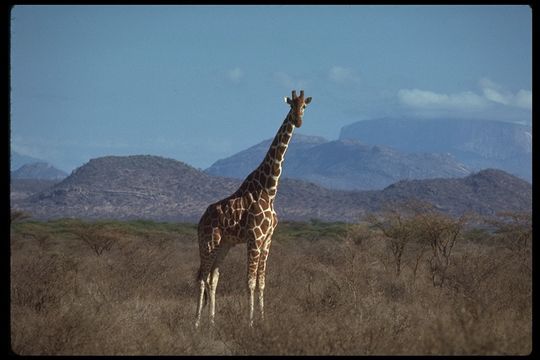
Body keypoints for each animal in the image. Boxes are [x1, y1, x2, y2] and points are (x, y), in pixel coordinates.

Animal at [195, 89, 312, 326]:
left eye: (304, 106)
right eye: (291, 105)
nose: (298, 121)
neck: (270, 189)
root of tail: (200, 221)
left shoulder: (267, 239)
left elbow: (261, 283)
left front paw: (262, 319)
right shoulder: (255, 237)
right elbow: (249, 281)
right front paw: (249, 323)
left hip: (224, 245)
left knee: (213, 278)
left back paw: (212, 322)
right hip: (208, 242)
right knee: (202, 277)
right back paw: (196, 323)